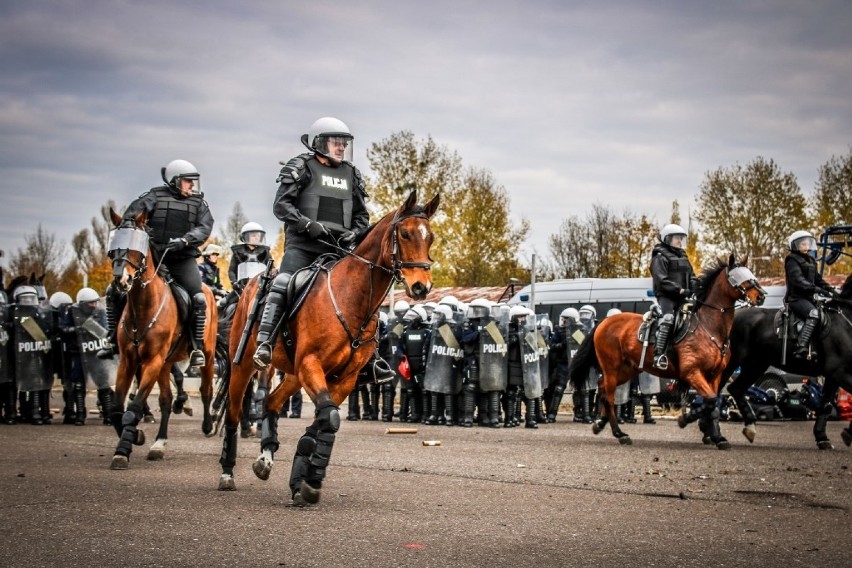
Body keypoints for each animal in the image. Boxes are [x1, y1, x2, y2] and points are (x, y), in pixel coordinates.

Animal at [106, 206, 218, 468]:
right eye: (114, 245)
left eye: (137, 247)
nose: (121, 280)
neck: (143, 307)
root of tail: (208, 290)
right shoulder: (129, 361)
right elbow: (117, 409)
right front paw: (135, 437)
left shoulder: (152, 362)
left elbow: (134, 407)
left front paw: (124, 449)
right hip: (166, 363)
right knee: (166, 400)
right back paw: (159, 444)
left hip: (206, 354)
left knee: (206, 390)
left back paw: (208, 425)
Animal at [218, 191, 440, 506]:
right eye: (406, 234)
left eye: (429, 237)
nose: (422, 287)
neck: (351, 299)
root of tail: (247, 286)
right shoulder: (311, 365)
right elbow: (330, 418)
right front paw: (308, 481)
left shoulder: (343, 378)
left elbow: (322, 423)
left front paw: (304, 479)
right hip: (245, 365)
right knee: (234, 413)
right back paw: (227, 473)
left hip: (293, 374)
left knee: (271, 402)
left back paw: (265, 458)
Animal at [572, 256, 764, 448]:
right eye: (736, 276)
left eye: (750, 273)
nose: (760, 296)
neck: (709, 328)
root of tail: (603, 322)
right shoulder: (692, 373)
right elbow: (709, 401)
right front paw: (685, 420)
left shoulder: (714, 376)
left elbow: (713, 404)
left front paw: (717, 436)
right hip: (612, 368)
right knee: (609, 397)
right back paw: (619, 433)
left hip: (627, 370)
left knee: (602, 388)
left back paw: (601, 424)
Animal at [724, 272, 852, 450]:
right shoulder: (839, 372)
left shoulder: (833, 376)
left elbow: (825, 406)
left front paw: (822, 437)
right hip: (735, 362)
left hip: (755, 365)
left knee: (735, 389)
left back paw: (746, 427)